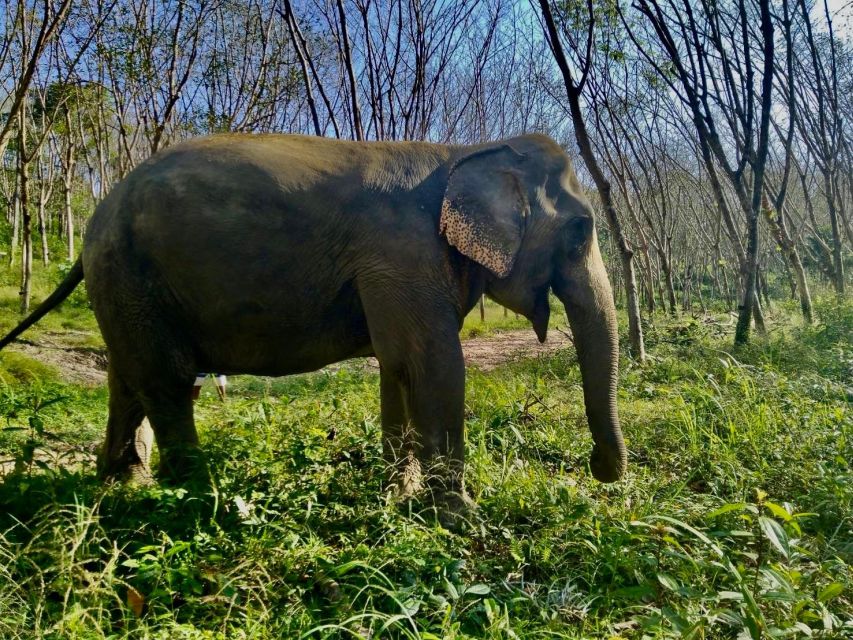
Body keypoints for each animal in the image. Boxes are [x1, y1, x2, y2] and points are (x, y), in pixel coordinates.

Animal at [0, 133, 627, 518]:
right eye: (579, 233)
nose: (600, 471)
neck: (465, 152)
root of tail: (97, 215)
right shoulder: (402, 254)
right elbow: (434, 363)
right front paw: (460, 517)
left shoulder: (397, 270)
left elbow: (397, 366)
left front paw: (398, 499)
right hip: (133, 275)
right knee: (169, 382)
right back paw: (198, 496)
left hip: (125, 286)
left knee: (127, 379)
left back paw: (122, 487)